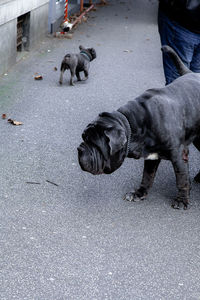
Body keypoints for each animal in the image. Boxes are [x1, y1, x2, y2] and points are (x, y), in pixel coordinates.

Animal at [77, 45, 200, 210]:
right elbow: (147, 176)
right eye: (84, 138)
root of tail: (191, 72)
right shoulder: (151, 156)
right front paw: (139, 193)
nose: (80, 149)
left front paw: (182, 200)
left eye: (95, 144)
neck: (135, 124)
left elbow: (181, 178)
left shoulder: (178, 154)